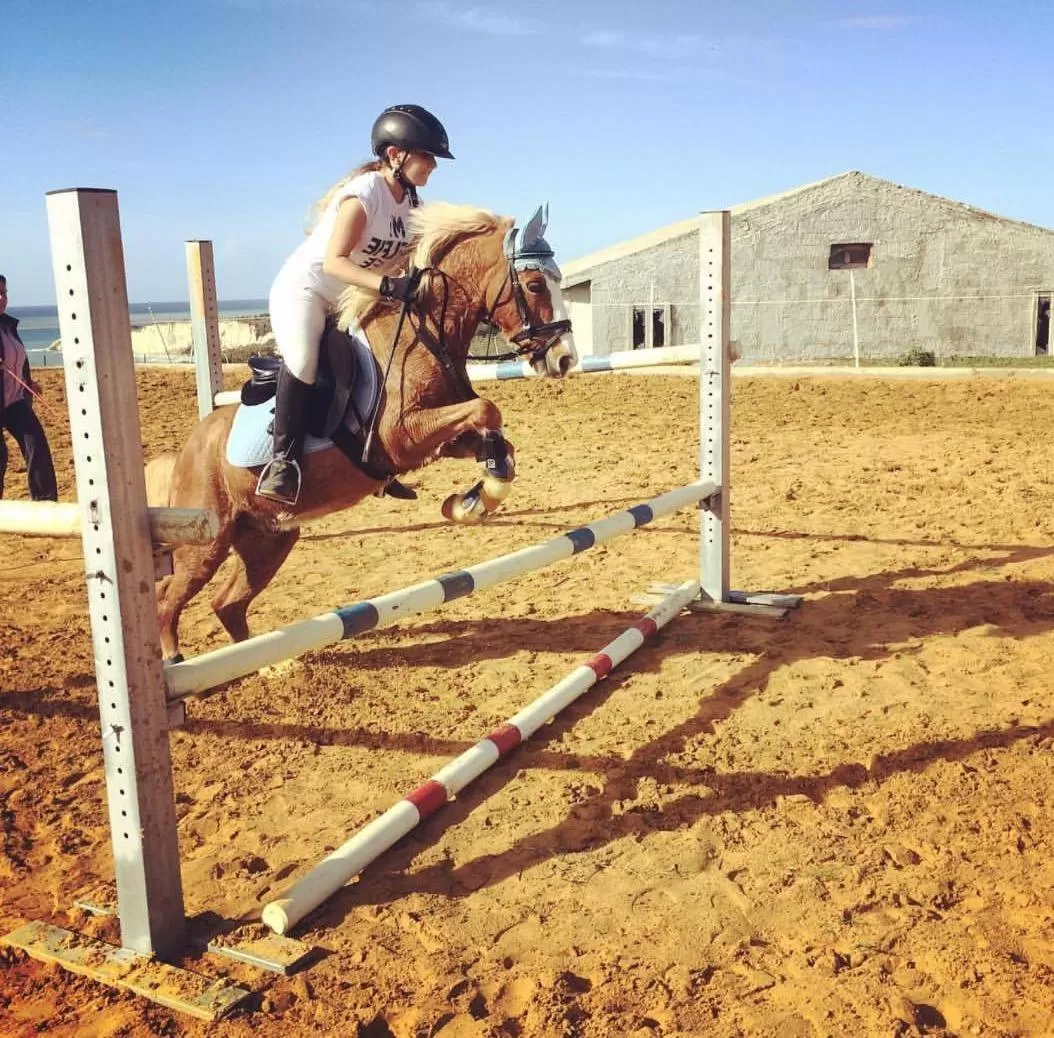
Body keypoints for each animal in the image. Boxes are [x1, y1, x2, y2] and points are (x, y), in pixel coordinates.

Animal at [150, 202, 577, 663]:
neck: (423, 334)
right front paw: (472, 500)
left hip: (270, 539)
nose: (566, 359)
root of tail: (189, 448)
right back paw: (174, 660)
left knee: (227, 604)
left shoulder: (441, 438)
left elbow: (495, 433)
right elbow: (487, 408)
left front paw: (475, 499)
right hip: (205, 544)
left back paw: (265, 665)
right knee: (168, 598)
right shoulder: (401, 437)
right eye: (535, 284)